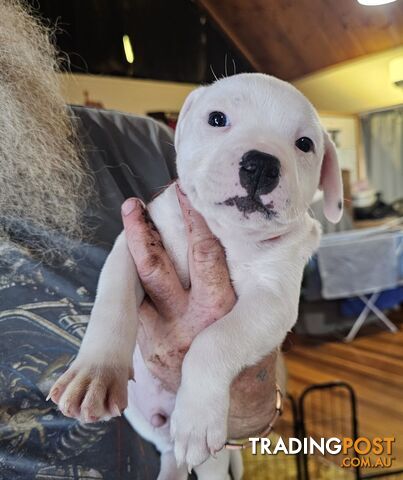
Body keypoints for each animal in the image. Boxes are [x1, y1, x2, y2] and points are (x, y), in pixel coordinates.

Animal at [49, 73, 342, 478]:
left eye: (304, 144)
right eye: (217, 119)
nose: (261, 163)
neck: (227, 233)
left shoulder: (272, 302)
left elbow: (213, 341)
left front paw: (196, 418)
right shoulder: (134, 245)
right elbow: (112, 304)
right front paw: (94, 373)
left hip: (214, 452)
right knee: (168, 450)